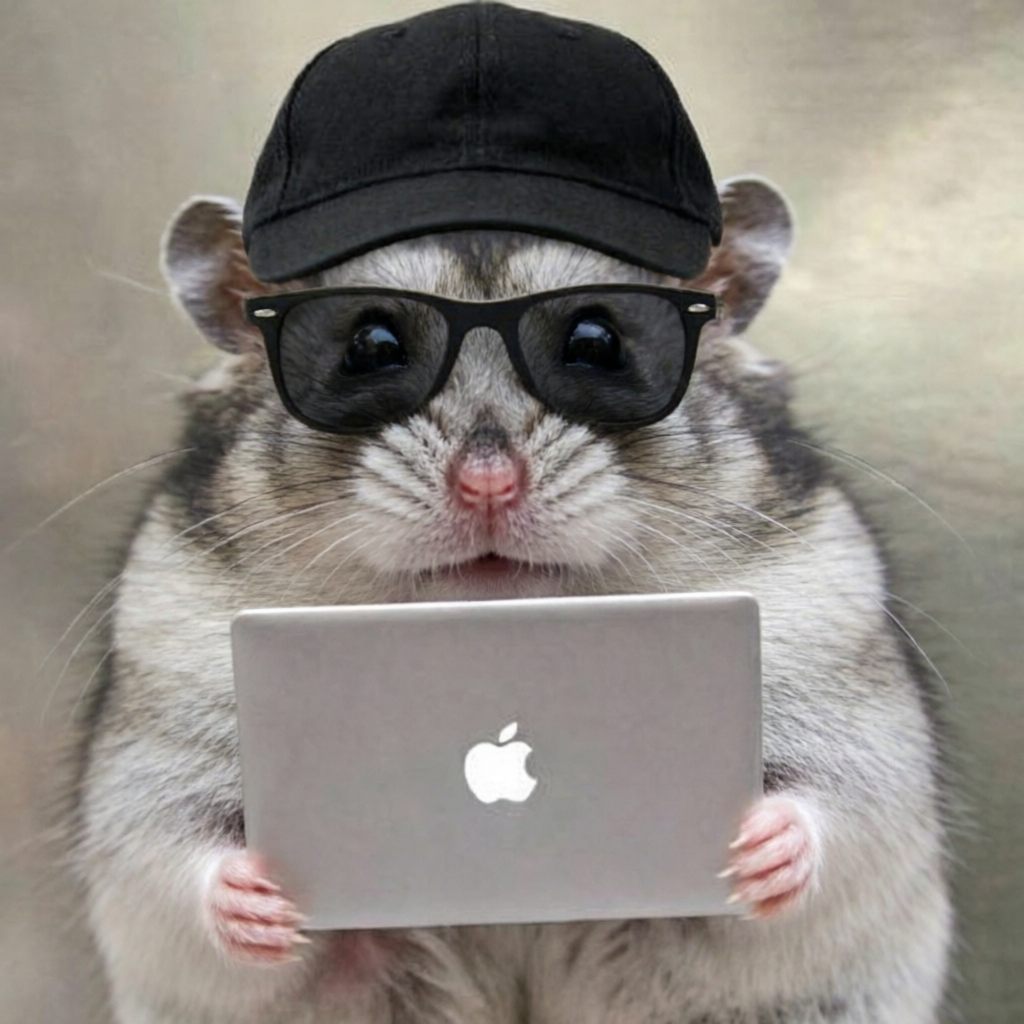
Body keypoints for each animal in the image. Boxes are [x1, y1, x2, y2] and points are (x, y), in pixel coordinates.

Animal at [70, 177, 952, 1024]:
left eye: (598, 341)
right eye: (369, 346)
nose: (488, 485)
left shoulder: (855, 722)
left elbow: (830, 812)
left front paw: (758, 849)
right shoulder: (152, 772)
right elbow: (177, 866)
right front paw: (258, 897)